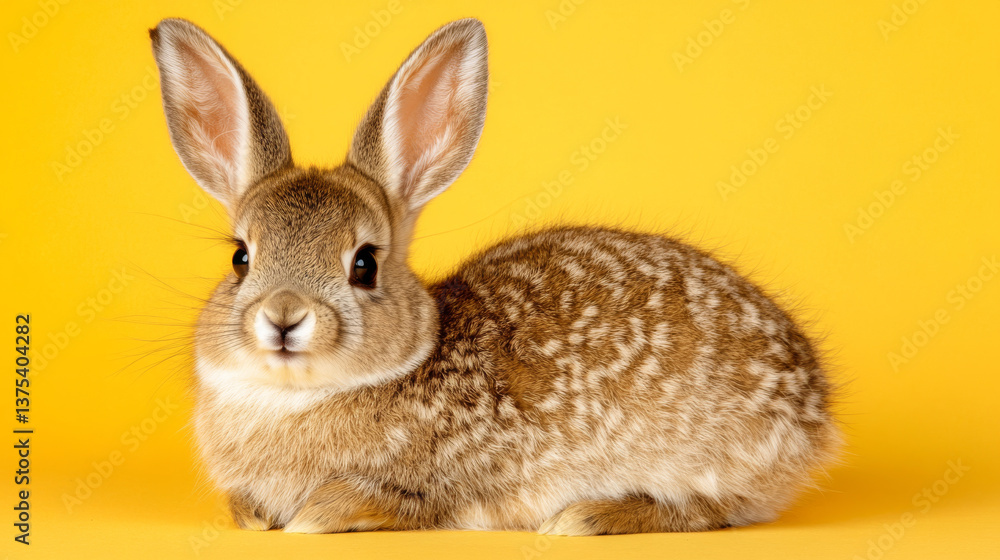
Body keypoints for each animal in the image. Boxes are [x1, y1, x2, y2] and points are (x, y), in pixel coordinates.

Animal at [149, 17, 840, 535]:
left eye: (364, 264)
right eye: (240, 258)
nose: (284, 316)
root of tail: (813, 410)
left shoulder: (445, 480)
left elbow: (381, 501)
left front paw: (312, 516)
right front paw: (254, 516)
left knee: (712, 510)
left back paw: (588, 518)